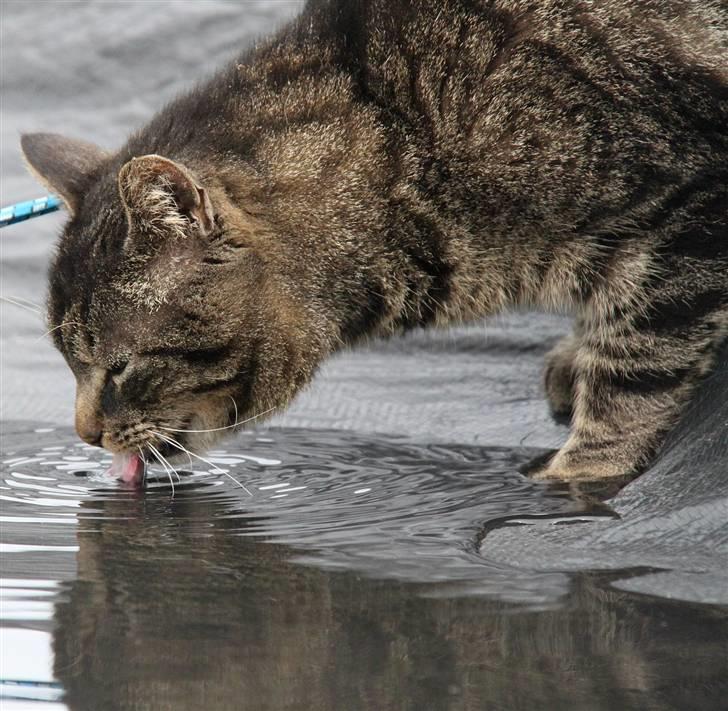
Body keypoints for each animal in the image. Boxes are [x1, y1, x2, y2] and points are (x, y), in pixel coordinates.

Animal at [19, 0, 724, 484]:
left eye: (119, 366)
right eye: (68, 363)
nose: (84, 436)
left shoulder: (686, 204)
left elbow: (637, 364)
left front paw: (580, 473)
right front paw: (576, 354)